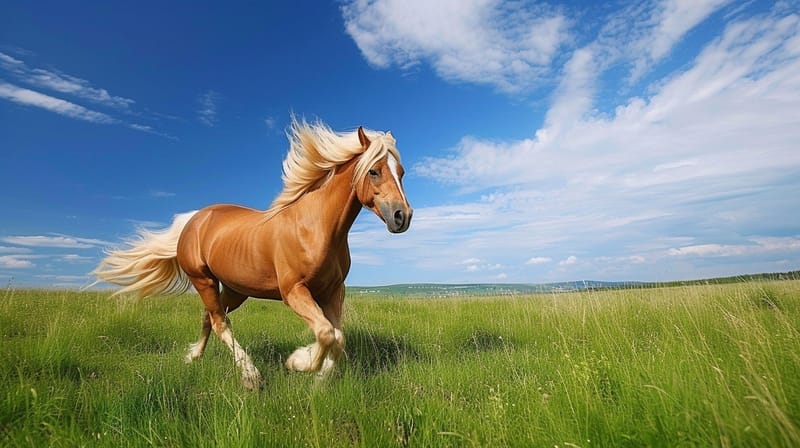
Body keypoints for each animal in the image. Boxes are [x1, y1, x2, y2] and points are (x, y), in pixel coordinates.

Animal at [92, 119, 412, 389]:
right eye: (374, 171)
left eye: (401, 172)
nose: (403, 216)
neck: (316, 227)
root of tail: (194, 220)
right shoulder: (294, 291)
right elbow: (325, 333)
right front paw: (298, 362)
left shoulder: (333, 290)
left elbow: (338, 336)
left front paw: (320, 381)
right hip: (204, 280)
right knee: (220, 323)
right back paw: (250, 376)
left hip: (236, 289)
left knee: (210, 317)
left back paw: (193, 357)